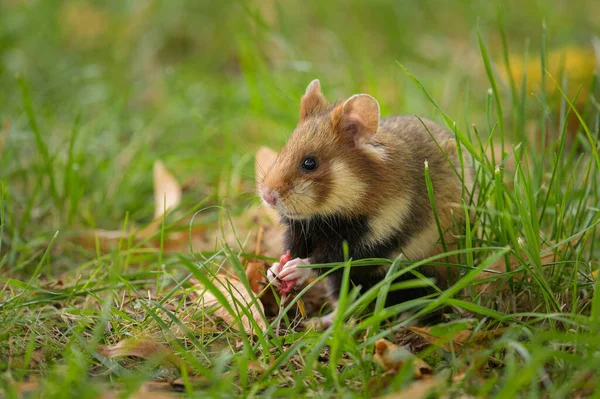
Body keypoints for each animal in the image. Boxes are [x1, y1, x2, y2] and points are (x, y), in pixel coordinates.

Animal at [258, 79, 474, 328]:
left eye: (309, 163)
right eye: (282, 151)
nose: (266, 196)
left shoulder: (372, 238)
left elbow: (327, 260)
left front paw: (294, 269)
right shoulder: (301, 228)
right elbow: (292, 247)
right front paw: (274, 271)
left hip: (427, 272)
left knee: (423, 301)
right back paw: (319, 322)